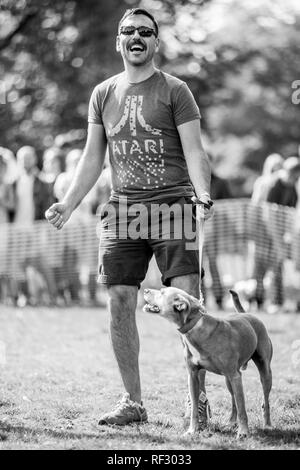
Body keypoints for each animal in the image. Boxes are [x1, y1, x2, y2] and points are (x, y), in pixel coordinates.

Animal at [144, 284, 274, 438]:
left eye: (162, 293)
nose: (145, 290)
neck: (195, 327)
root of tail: (247, 314)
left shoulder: (235, 376)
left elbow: (243, 408)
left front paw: (243, 432)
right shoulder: (193, 376)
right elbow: (194, 408)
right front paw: (192, 430)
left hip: (263, 372)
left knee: (264, 400)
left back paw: (267, 425)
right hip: (228, 380)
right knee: (234, 400)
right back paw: (231, 422)